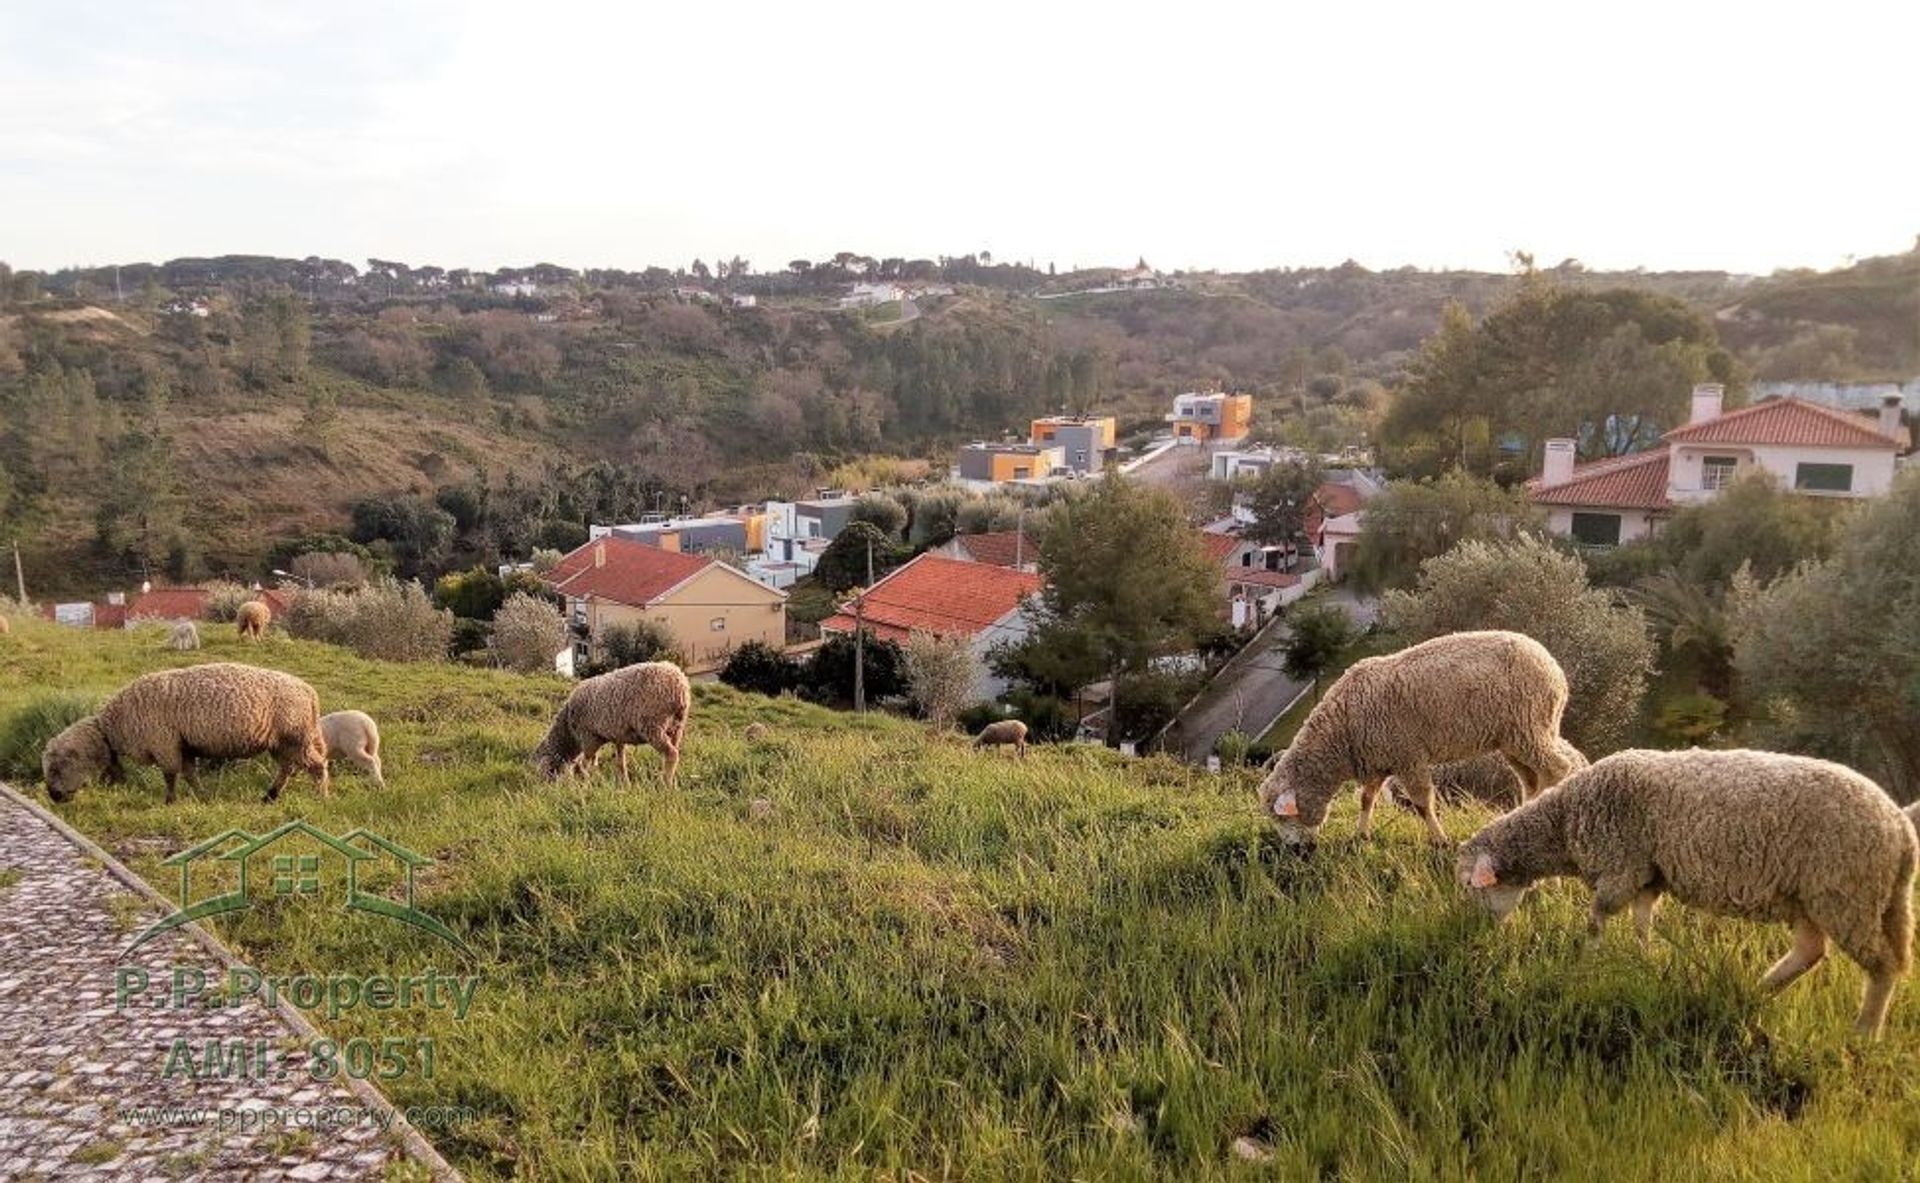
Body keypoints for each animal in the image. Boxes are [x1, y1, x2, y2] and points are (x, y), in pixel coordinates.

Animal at [41, 660, 330, 810]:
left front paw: (169, 802)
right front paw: (203, 797)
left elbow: (170, 774)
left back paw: (321, 797)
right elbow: (190, 774)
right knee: (288, 768)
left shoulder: (164, 743)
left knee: (316, 766)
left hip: (295, 736)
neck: (112, 727)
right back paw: (270, 796)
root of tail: (309, 692)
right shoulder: (184, 745)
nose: (53, 797)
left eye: (56, 768)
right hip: (283, 742)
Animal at [533, 660, 691, 791]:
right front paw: (624, 784)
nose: (544, 790)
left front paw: (586, 784)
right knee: (675, 752)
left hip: (652, 725)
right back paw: (673, 783)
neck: (569, 731)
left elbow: (585, 764)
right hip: (676, 728)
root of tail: (679, 684)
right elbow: (619, 762)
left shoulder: (589, 737)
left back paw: (665, 785)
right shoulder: (617, 736)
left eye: (546, 771)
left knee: (671, 754)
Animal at [1259, 629, 1574, 848]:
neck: (1342, 730)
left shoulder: (1408, 757)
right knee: (1530, 779)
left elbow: (1422, 803)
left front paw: (1439, 840)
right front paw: (1361, 834)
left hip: (1530, 727)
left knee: (1557, 769)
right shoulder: (1379, 760)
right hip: (1515, 738)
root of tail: (1554, 668)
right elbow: (1366, 799)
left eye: (1284, 817)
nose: (1294, 850)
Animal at [1459, 752, 1912, 1037]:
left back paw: (1864, 1032)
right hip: (1812, 897)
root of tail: (1901, 830)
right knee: (1810, 950)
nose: (1474, 932)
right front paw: (1643, 962)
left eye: (1467, 885)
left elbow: (1596, 920)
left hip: (1846, 894)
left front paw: (1585, 965)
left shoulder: (1620, 867)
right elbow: (1641, 923)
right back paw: (1755, 991)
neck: (1565, 820)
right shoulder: (1646, 875)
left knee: (1883, 966)